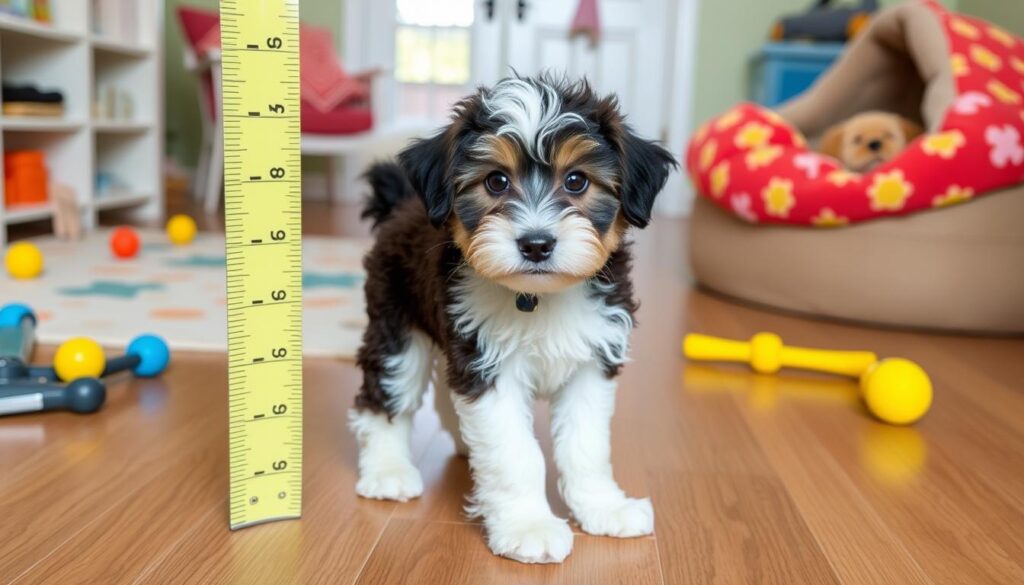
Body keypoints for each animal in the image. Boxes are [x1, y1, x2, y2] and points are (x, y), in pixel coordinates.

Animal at [348, 75, 675, 565]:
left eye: (576, 180)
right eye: (496, 181)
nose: (536, 244)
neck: (540, 298)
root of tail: (402, 204)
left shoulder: (593, 360)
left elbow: (586, 446)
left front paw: (603, 507)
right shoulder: (489, 367)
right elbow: (516, 453)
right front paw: (529, 526)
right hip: (395, 322)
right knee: (384, 396)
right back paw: (388, 470)